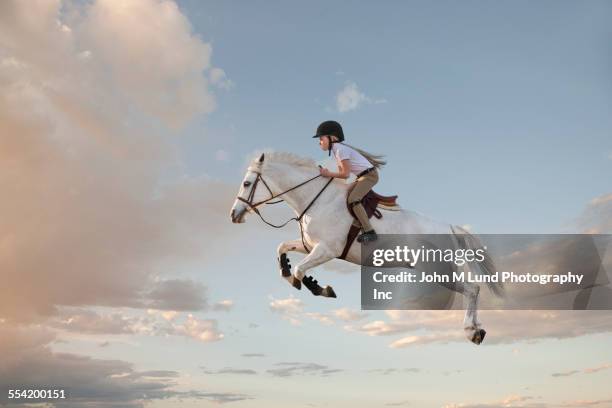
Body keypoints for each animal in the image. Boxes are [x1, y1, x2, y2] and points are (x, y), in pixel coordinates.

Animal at [230, 152, 502, 344]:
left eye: (247, 183)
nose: (234, 214)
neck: (316, 200)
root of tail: (449, 227)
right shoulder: (311, 245)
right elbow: (282, 248)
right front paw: (287, 271)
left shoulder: (327, 249)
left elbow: (300, 271)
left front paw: (320, 288)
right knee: (472, 290)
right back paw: (477, 330)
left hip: (437, 270)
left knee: (472, 289)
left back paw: (471, 331)